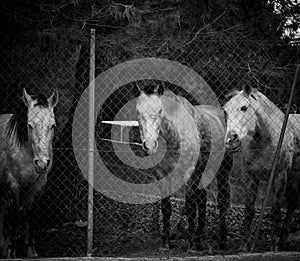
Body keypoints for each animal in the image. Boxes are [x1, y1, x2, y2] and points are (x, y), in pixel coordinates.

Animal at [0, 87, 58, 256]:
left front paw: (31, 251)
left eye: (52, 125)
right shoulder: (12, 185)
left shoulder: (38, 186)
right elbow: (13, 217)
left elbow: (31, 215)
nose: (42, 163)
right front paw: (11, 252)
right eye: (30, 125)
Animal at [134, 83, 232, 250]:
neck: (176, 136)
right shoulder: (162, 174)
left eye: (160, 111)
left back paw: (222, 240)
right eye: (138, 111)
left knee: (222, 200)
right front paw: (166, 242)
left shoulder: (189, 173)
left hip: (222, 171)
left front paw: (190, 244)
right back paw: (200, 238)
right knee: (202, 199)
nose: (149, 145)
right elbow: (166, 207)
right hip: (202, 173)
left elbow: (190, 206)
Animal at [224, 85, 298, 250]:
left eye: (244, 107)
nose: (231, 139)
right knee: (292, 203)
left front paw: (273, 247)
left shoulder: (279, 176)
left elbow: (275, 212)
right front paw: (244, 246)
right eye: (225, 110)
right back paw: (284, 240)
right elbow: (249, 211)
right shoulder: (250, 176)